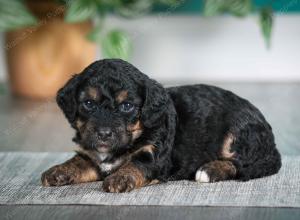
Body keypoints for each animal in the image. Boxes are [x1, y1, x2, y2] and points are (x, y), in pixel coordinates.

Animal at [41, 58, 282, 192]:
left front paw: (119, 178)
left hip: (237, 133)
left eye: (127, 106)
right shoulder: (91, 155)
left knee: (240, 163)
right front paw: (57, 171)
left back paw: (210, 170)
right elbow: (78, 161)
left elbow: (135, 165)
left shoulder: (154, 157)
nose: (104, 134)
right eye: (89, 104)